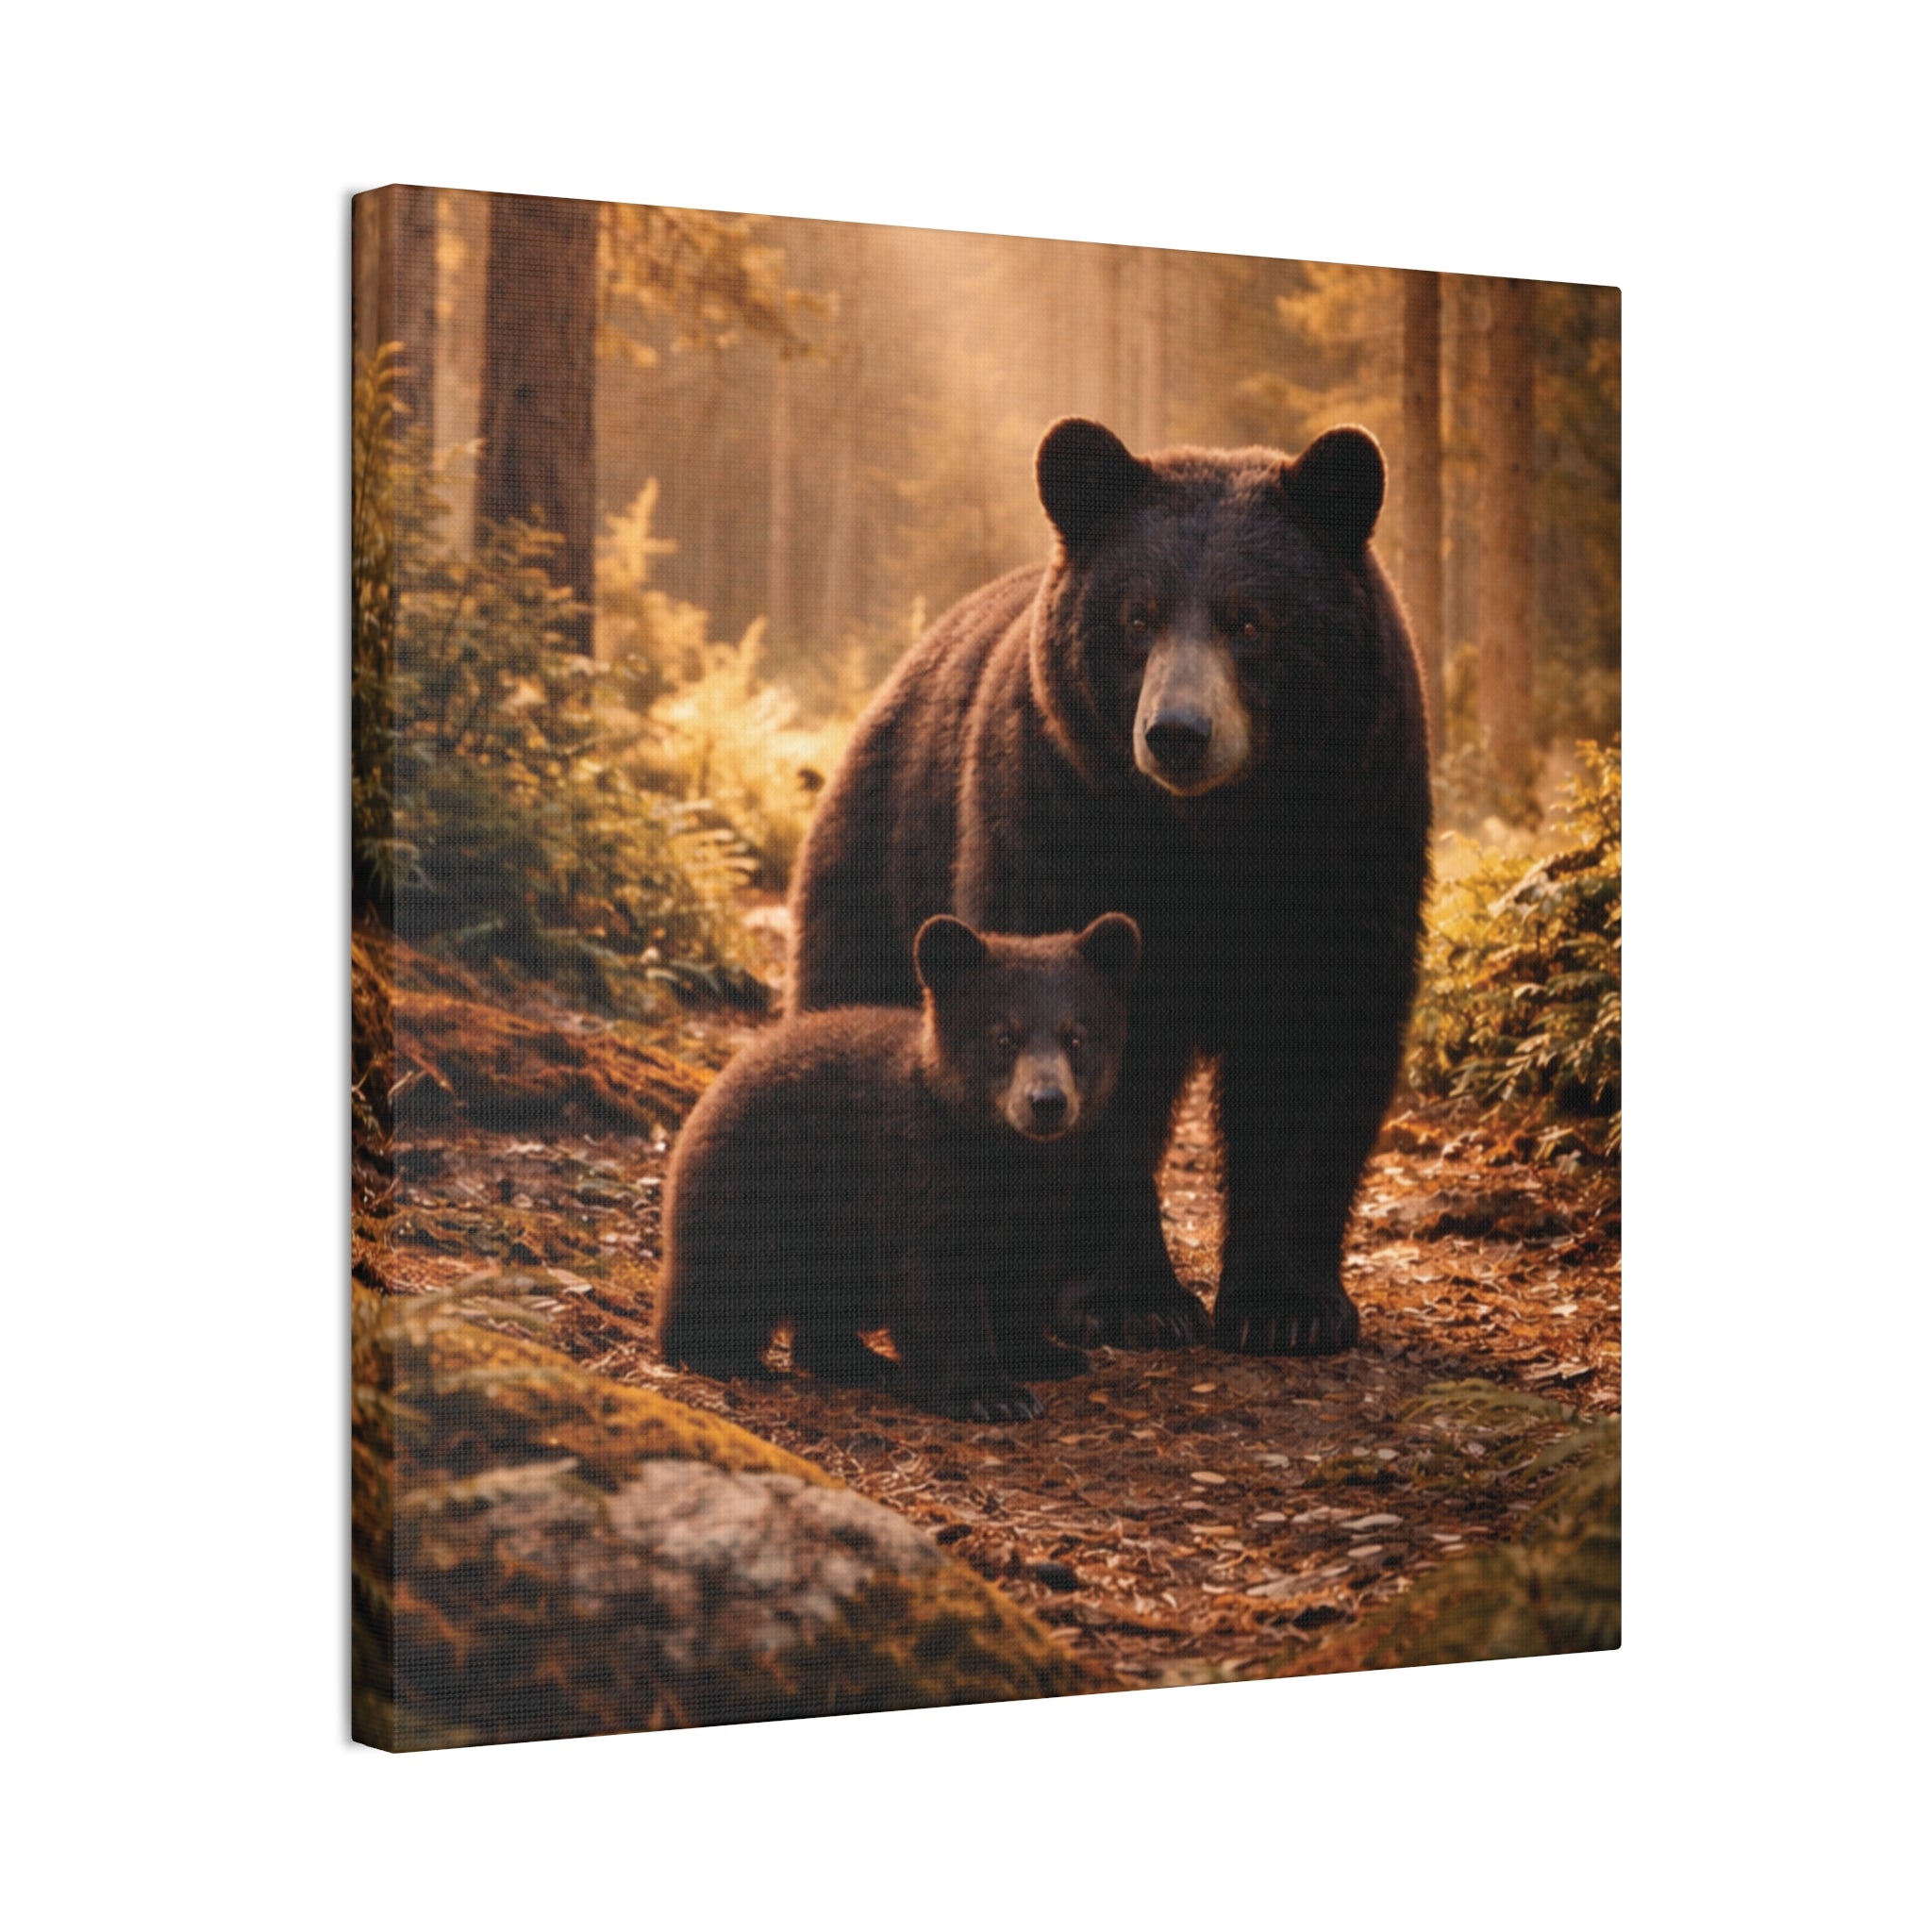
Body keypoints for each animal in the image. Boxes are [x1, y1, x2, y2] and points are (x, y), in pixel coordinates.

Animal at [658, 912, 1142, 1421]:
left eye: (1076, 1037)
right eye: (1004, 1037)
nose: (1046, 1102)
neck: (997, 1154)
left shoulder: (1041, 1193)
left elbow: (1019, 1271)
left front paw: (1046, 1353)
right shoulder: (913, 1173)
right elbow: (935, 1281)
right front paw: (992, 1393)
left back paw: (858, 1359)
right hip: (756, 1192)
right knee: (725, 1281)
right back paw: (724, 1356)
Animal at [787, 417, 1432, 1356]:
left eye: (1250, 619)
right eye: (1137, 616)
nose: (1178, 733)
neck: (1212, 837)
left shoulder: (1350, 836)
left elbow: (1316, 1040)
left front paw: (1290, 1306)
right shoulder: (1062, 815)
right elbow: (1073, 1030)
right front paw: (1132, 1299)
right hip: (883, 858)